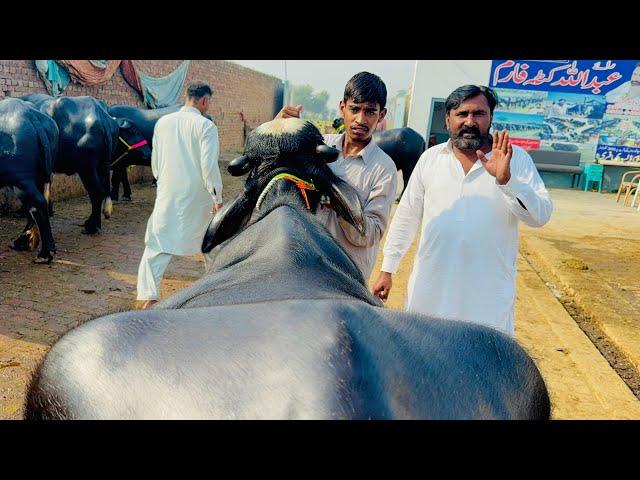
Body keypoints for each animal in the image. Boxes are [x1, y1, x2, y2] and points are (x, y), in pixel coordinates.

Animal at [0, 97, 58, 262]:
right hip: (38, 178)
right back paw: (25, 241)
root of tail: (29, 114)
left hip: (22, 182)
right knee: (34, 207)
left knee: (37, 205)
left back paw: (45, 253)